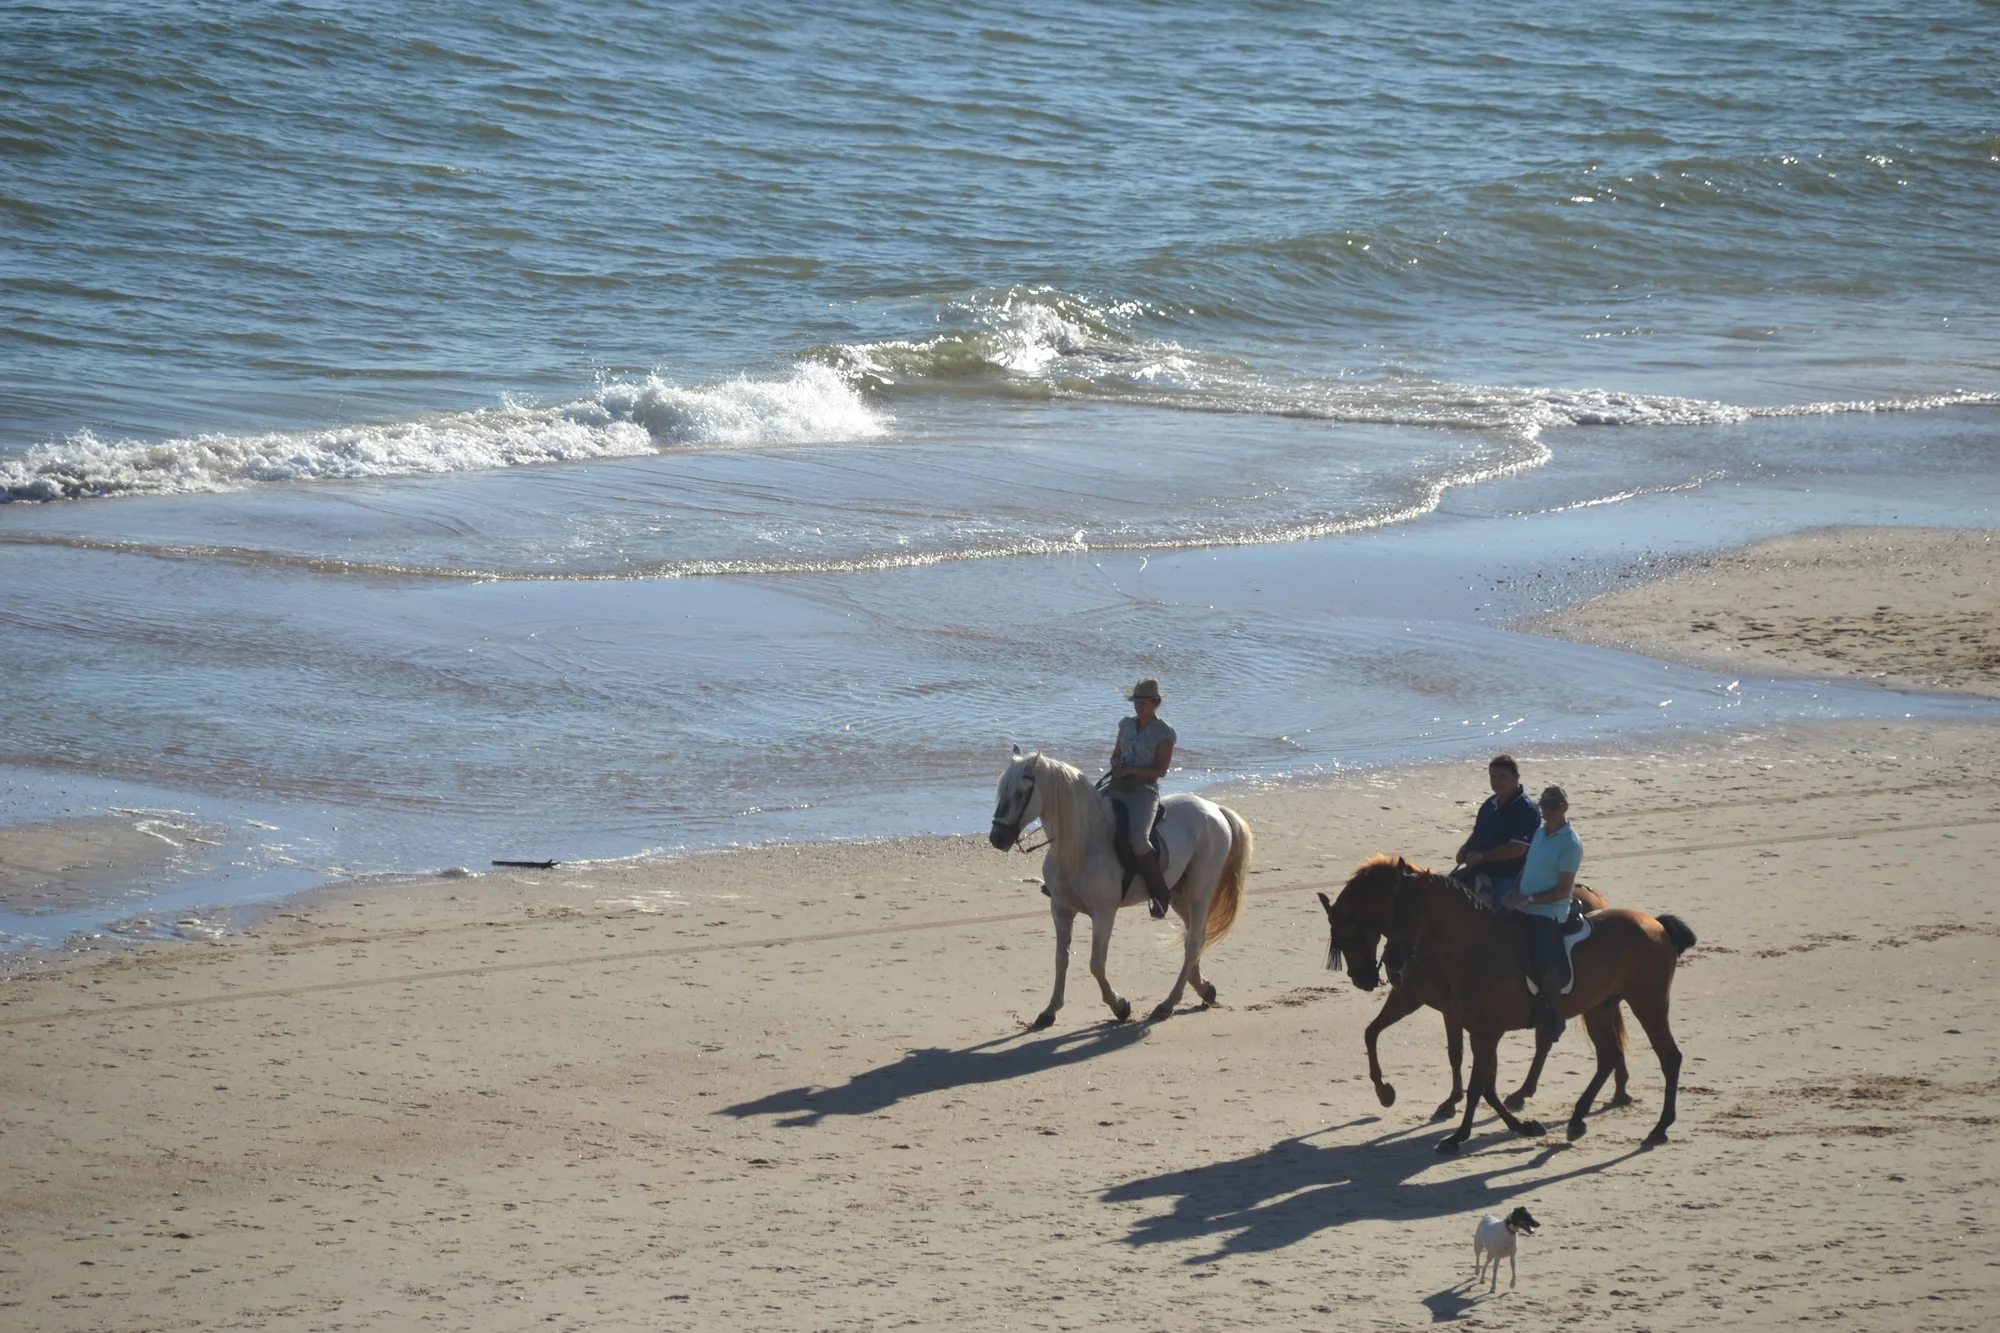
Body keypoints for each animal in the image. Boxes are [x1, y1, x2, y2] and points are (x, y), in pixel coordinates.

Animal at [989, 748, 1252, 1027]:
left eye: (1020, 793)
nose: (997, 838)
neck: (1082, 843)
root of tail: (1214, 808)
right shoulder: (1060, 909)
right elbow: (1061, 959)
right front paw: (1050, 1010)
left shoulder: (1104, 912)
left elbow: (1096, 963)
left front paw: (1120, 1006)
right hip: (1179, 895)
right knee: (1193, 936)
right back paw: (1203, 988)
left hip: (1201, 891)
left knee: (1193, 941)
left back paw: (1168, 1003)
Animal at [1318, 855, 1631, 1119]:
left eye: (1347, 933)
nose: (1362, 979)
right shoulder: (1409, 998)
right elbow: (1371, 1033)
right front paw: (1384, 1092)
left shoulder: (1449, 1008)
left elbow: (1455, 1052)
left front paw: (1453, 1099)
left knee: (1550, 1037)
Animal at [1383, 859, 1696, 1152]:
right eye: (1390, 909)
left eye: (1407, 911)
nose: (1391, 961)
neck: (1477, 949)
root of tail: (1655, 923)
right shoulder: (1478, 1032)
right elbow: (1486, 1086)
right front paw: (1522, 1126)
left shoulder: (1488, 1032)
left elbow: (1477, 1087)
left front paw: (1458, 1136)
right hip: (1599, 1007)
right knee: (1608, 1056)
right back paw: (1577, 1120)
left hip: (1648, 1001)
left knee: (1669, 1057)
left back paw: (1660, 1127)